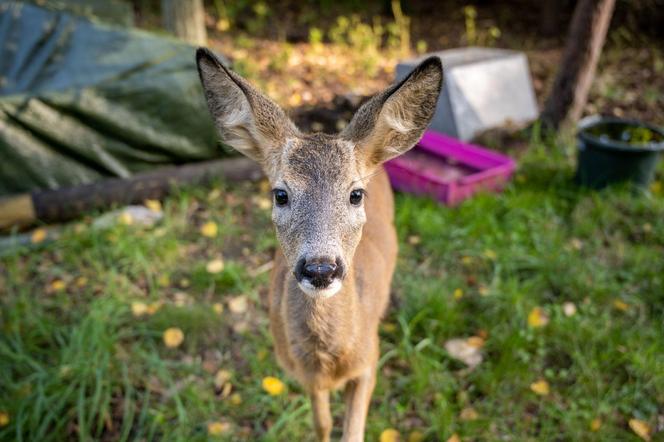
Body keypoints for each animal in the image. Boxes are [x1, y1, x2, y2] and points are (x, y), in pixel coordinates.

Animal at [197, 46, 444, 440]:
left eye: (356, 194)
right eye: (280, 194)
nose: (320, 268)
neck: (327, 360)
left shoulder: (369, 360)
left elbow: (353, 431)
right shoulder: (302, 375)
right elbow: (322, 422)